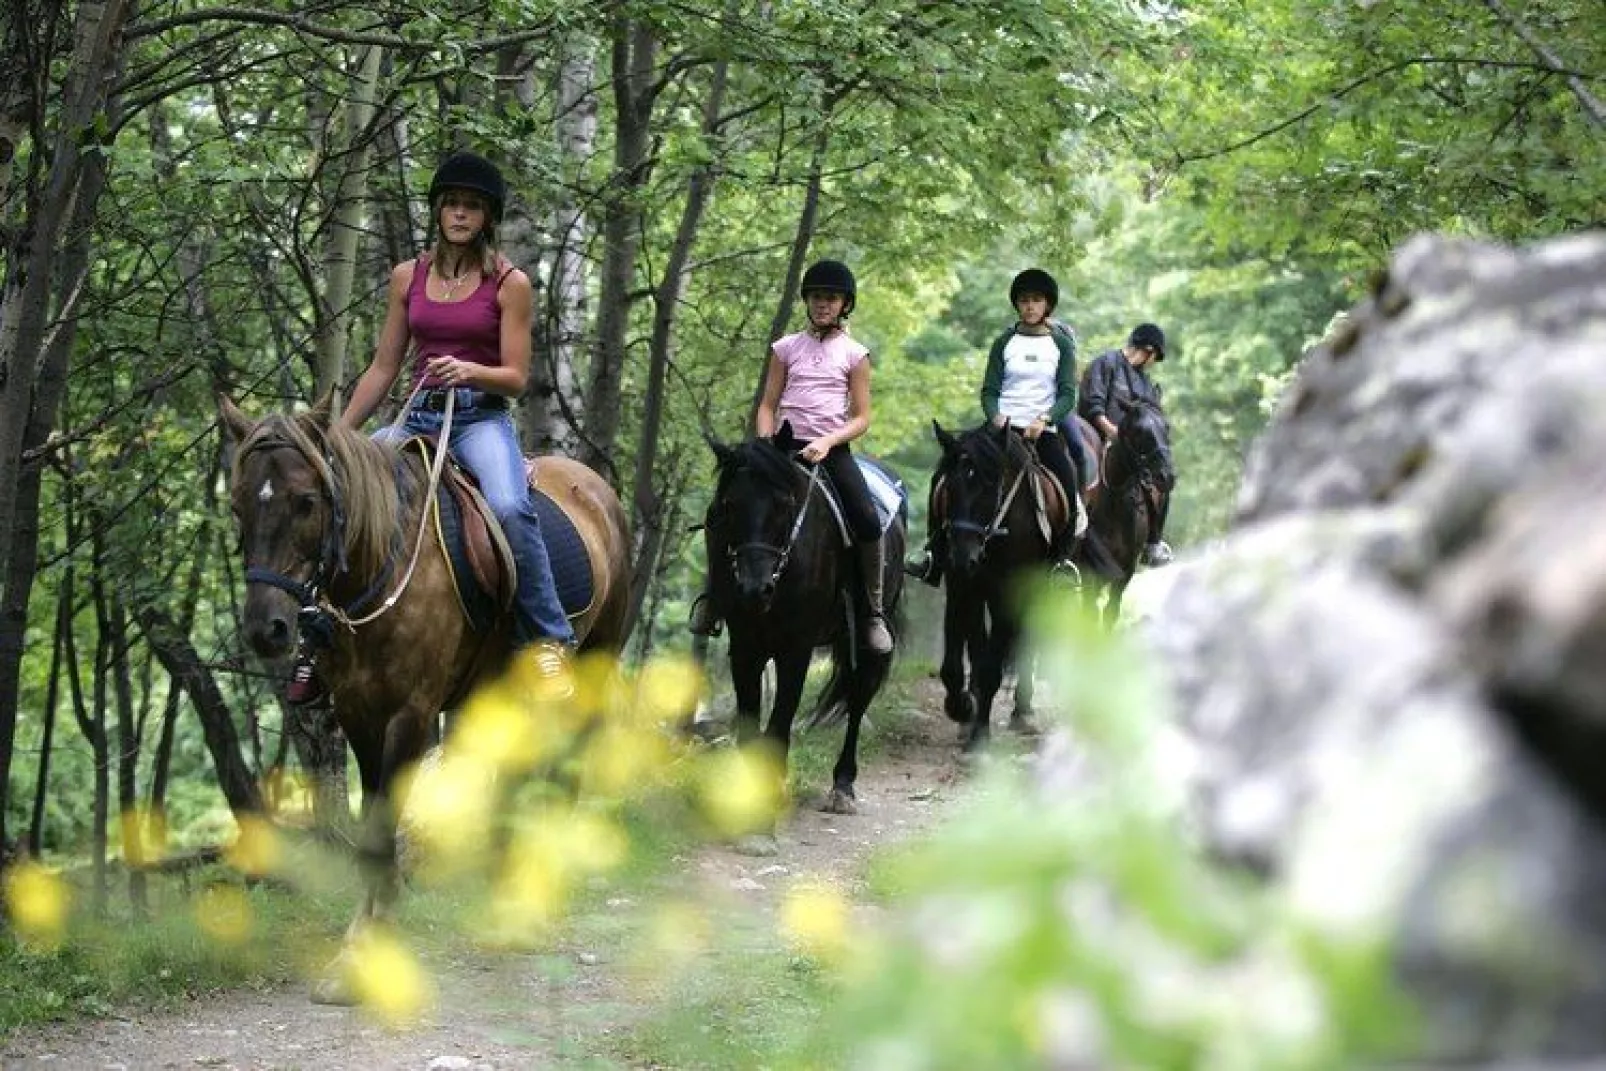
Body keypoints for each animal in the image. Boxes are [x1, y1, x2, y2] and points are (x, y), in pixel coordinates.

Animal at [216, 396, 629, 1008]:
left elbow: (387, 829)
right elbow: (372, 834)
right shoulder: (359, 715)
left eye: (306, 501)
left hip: (595, 663)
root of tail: (596, 488)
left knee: (567, 774)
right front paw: (353, 956)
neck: (383, 566)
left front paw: (368, 952)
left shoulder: (410, 715)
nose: (267, 629)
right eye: (239, 504)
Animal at [703, 423, 905, 834]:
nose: (754, 589)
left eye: (784, 504)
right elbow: (749, 721)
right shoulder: (745, 645)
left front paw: (771, 798)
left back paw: (843, 788)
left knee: (858, 701)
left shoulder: (796, 648)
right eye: (729, 506)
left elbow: (780, 721)